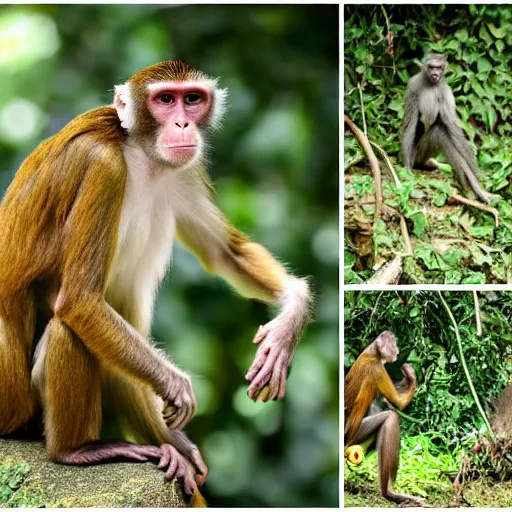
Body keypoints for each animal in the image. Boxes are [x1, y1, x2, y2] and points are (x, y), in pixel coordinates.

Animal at [0, 60, 312, 504]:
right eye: (165, 99)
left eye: (192, 98)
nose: (183, 123)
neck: (138, 156)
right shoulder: (103, 168)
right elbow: (80, 301)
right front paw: (175, 385)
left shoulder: (184, 170)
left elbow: (225, 254)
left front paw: (290, 319)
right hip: (13, 403)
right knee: (72, 324)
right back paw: (76, 451)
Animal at [344, 330, 424, 506]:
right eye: (393, 343)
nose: (397, 350)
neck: (373, 352)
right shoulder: (377, 369)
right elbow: (398, 403)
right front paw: (410, 374)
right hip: (354, 433)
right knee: (390, 417)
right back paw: (389, 493)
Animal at [400, 52, 492, 204]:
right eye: (432, 67)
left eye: (439, 67)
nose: (435, 74)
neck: (430, 84)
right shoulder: (413, 85)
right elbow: (410, 122)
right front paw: (406, 167)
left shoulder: (445, 91)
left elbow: (451, 124)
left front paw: (475, 174)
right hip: (418, 153)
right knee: (438, 133)